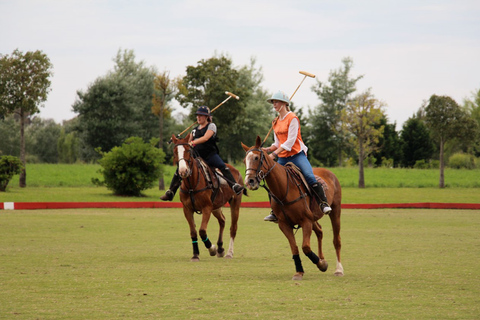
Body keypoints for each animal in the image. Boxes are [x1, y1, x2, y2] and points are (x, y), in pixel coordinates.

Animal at [171, 134, 244, 262]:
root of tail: (235, 170)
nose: (183, 171)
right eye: (175, 152)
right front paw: (195, 254)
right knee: (222, 220)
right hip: (216, 206)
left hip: (235, 202)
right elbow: (193, 232)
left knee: (233, 228)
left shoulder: (206, 208)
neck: (191, 185)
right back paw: (220, 248)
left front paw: (212, 249)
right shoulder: (187, 209)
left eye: (188, 151)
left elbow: (202, 231)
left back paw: (229, 253)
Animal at [242, 136, 344, 278]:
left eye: (256, 158)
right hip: (313, 216)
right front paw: (300, 271)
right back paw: (322, 258)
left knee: (336, 239)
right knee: (319, 231)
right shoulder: (284, 224)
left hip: (335, 210)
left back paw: (338, 269)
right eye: (244, 161)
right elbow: (294, 247)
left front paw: (320, 264)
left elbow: (305, 247)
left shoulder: (306, 221)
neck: (284, 190)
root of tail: (329, 172)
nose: (249, 182)